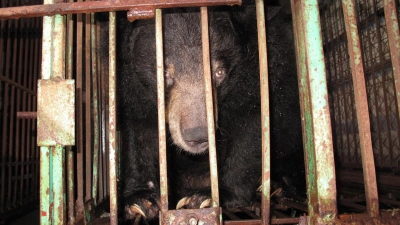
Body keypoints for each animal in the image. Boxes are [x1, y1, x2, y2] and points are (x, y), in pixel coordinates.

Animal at [115, 2, 304, 224]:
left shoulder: (263, 72)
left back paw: (275, 186)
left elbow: (253, 126)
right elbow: (139, 130)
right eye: (164, 73)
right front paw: (141, 200)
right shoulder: (131, 85)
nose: (198, 136)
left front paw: (207, 198)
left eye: (219, 72)